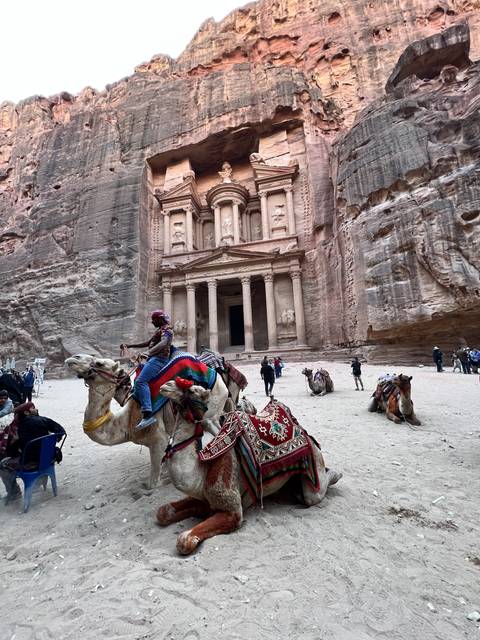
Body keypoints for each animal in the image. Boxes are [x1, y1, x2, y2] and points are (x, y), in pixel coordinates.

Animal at [65, 354, 228, 488]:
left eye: (99, 363)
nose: (73, 358)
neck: (127, 423)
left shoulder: (158, 440)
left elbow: (152, 484)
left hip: (210, 410)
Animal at [156, 379, 342, 555]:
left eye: (193, 389)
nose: (166, 385)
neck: (202, 468)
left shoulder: (233, 510)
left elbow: (184, 540)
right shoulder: (203, 498)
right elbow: (163, 511)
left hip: (314, 466)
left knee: (314, 494)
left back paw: (336, 474)